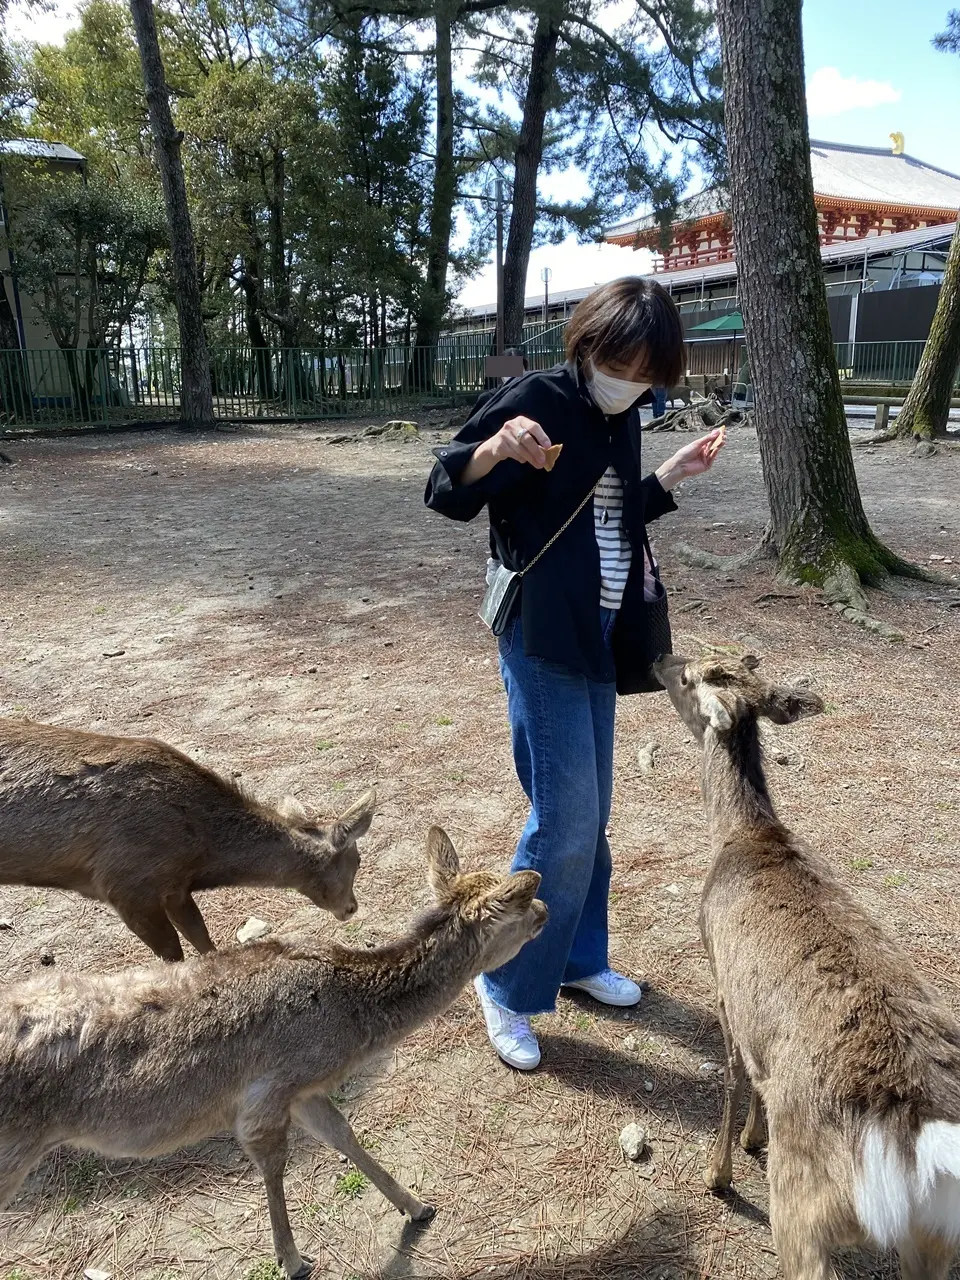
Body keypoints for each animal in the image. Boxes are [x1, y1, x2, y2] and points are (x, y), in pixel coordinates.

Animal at [0, 717, 376, 960]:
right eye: (357, 860)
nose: (351, 907)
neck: (199, 853)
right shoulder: (125, 886)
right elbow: (173, 956)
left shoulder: (175, 888)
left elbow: (201, 937)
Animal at [0, 827, 546, 1278]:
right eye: (521, 904)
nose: (545, 912)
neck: (348, 1023)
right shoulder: (267, 1093)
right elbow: (274, 1167)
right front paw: (293, 1260)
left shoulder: (303, 1089)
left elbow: (344, 1135)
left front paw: (417, 1207)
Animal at [653, 654, 960, 1280]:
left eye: (693, 676)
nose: (658, 658)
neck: (743, 836)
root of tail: (925, 1146)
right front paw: (751, 1138)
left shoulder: (722, 981)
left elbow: (735, 1072)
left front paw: (720, 1171)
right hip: (934, 1243)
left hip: (802, 1207)